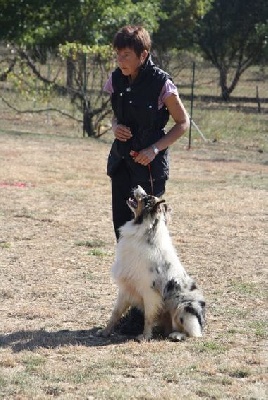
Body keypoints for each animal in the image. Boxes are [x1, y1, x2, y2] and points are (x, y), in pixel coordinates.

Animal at [98, 187, 205, 340]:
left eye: (146, 198)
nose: (137, 186)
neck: (145, 231)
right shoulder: (125, 288)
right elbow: (115, 313)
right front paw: (105, 331)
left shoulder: (150, 291)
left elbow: (148, 317)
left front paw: (145, 337)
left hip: (185, 308)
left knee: (193, 334)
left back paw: (177, 335)